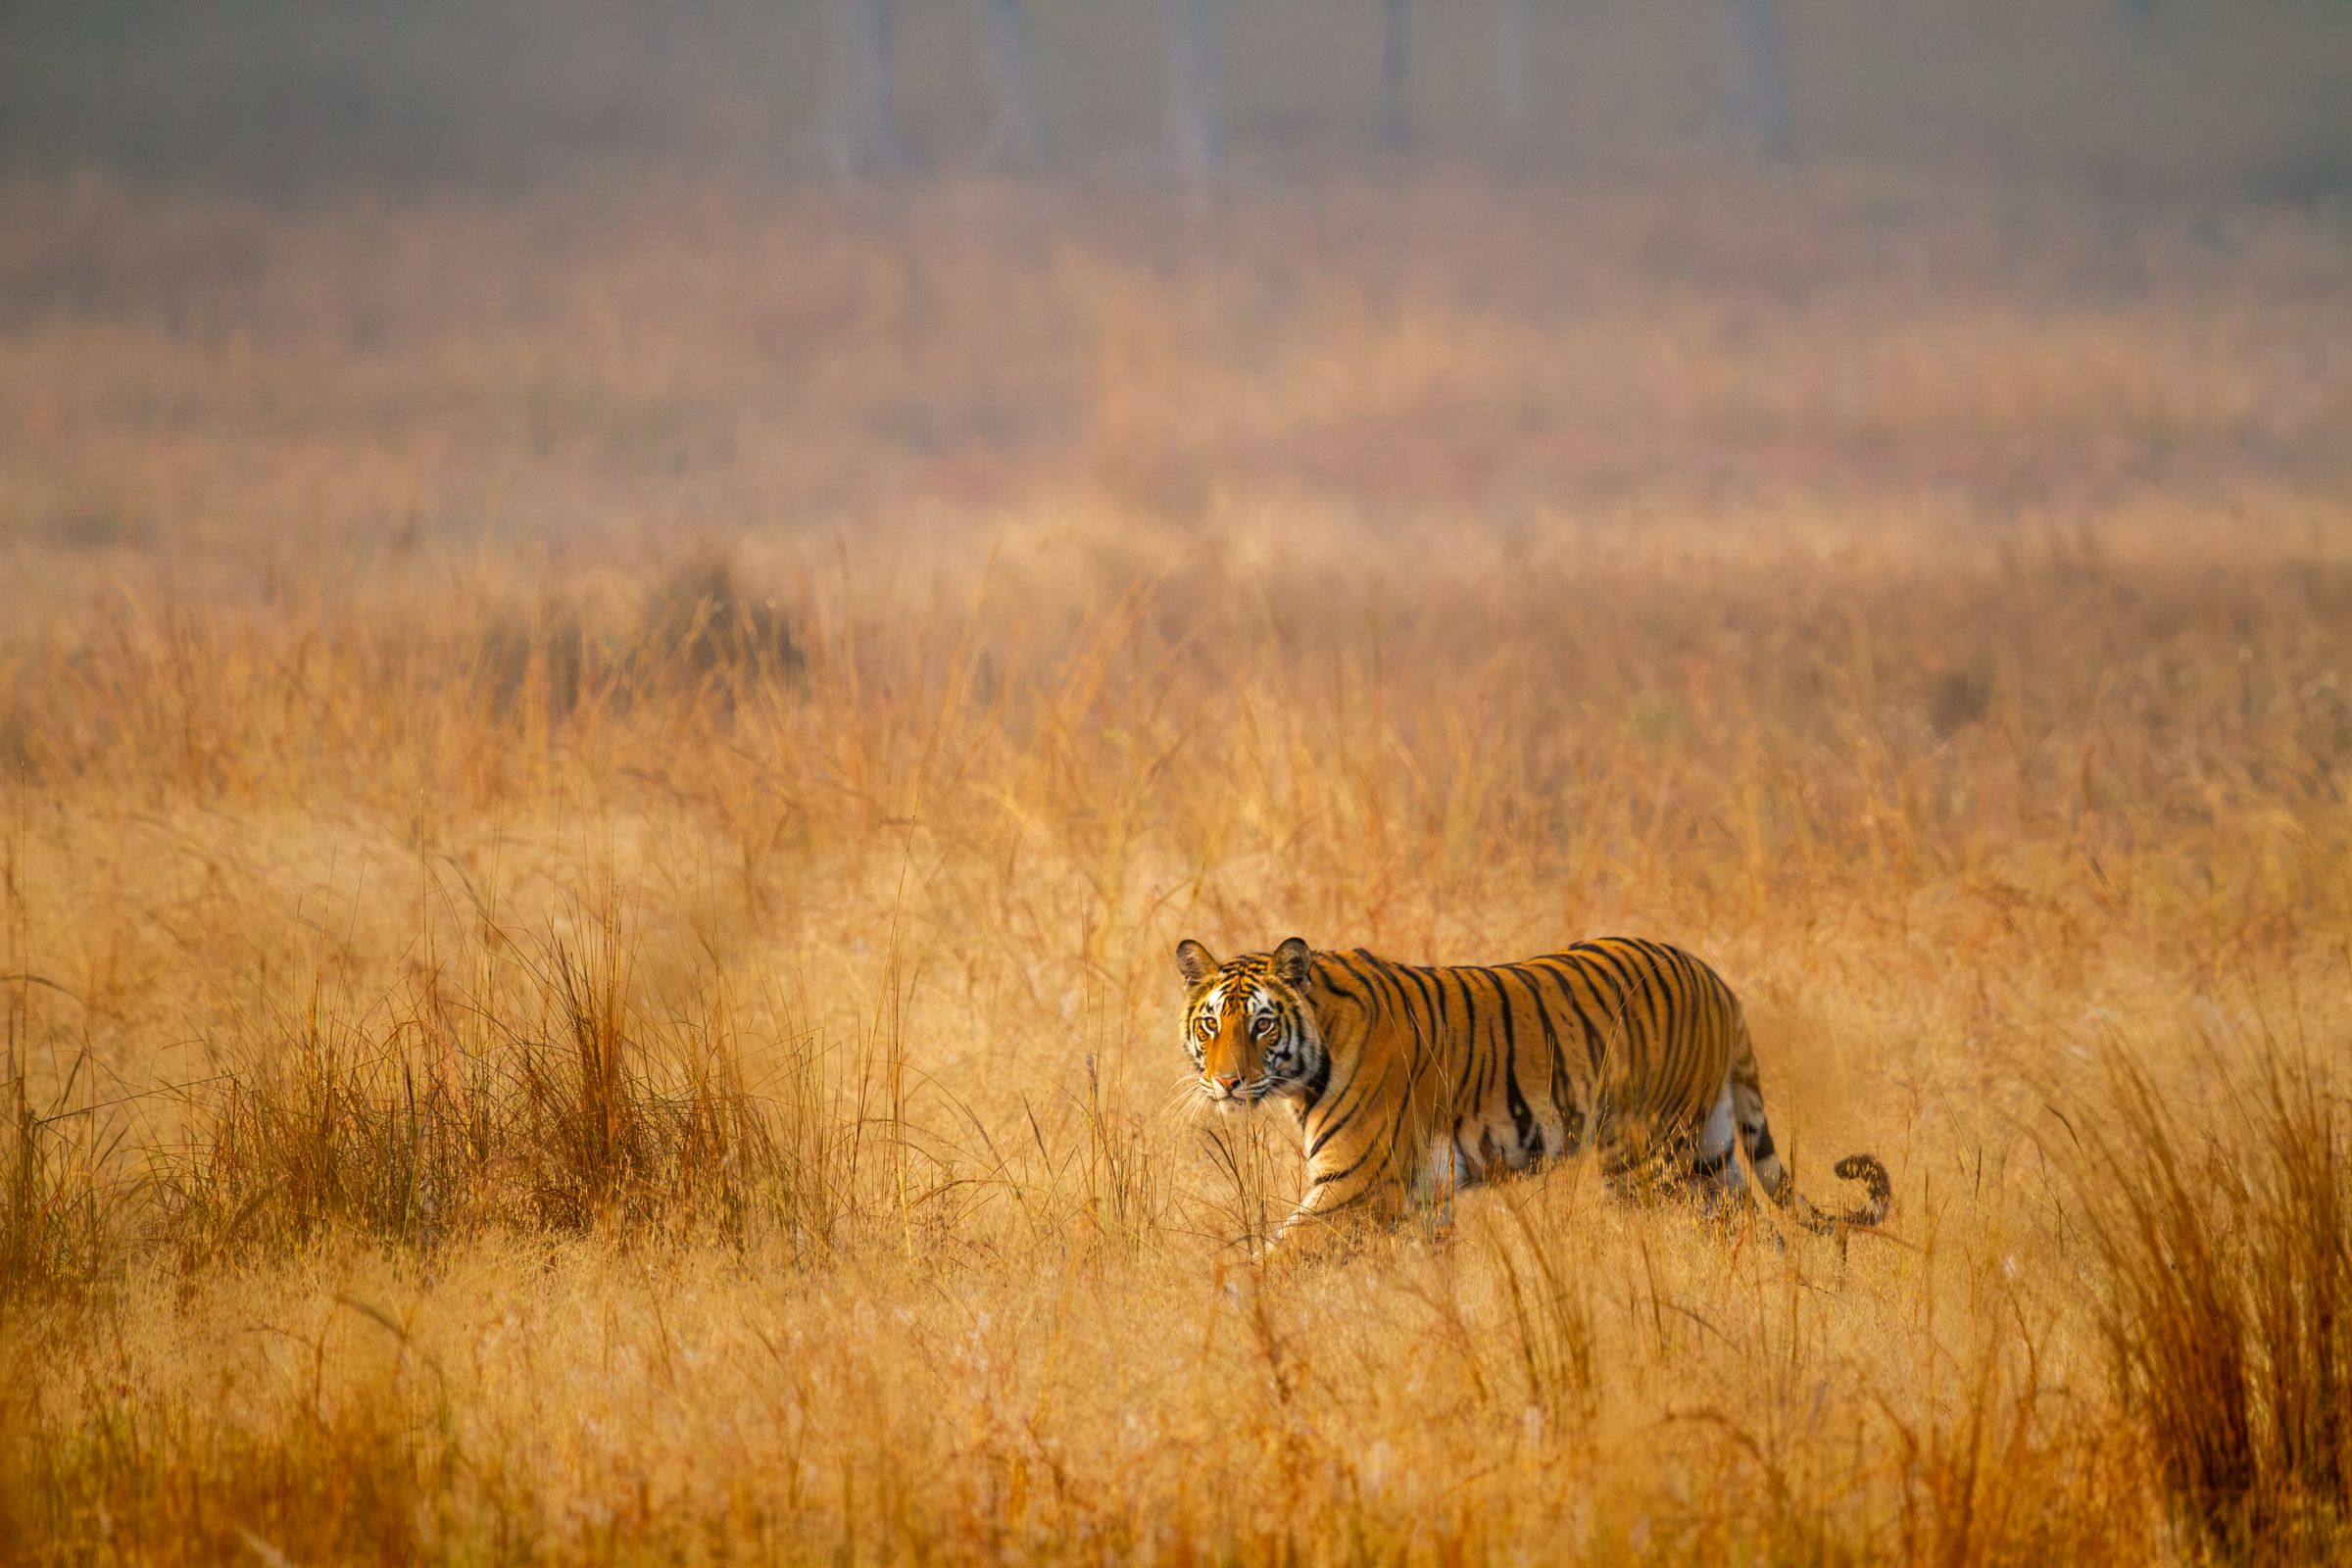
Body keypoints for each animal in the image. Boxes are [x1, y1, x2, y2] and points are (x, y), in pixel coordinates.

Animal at [1177, 935, 1890, 1244]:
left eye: (1262, 1024)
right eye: (1211, 1023)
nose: (1226, 1082)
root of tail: (1715, 979)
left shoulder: (1351, 1188)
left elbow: (1274, 1264)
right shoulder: (1423, 1194)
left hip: (1651, 1156)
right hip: (1709, 1150)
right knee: (1749, 1226)